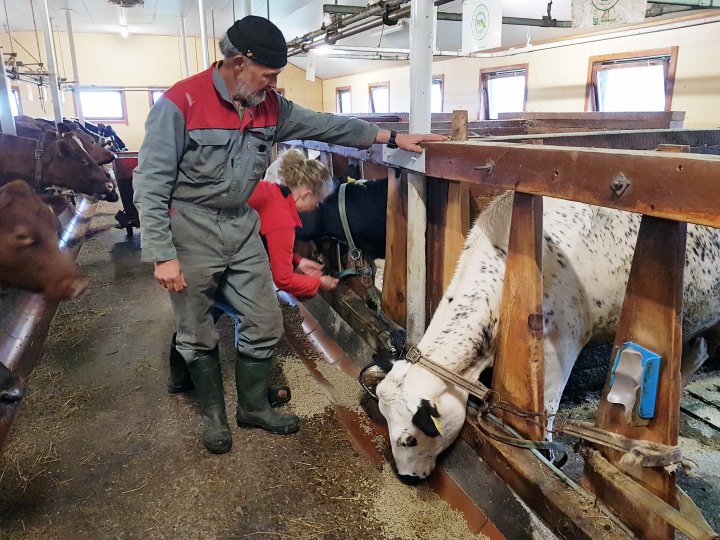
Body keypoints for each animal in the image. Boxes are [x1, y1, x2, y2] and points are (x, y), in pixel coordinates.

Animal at [376, 191, 720, 480]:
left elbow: (546, 410)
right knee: (698, 350)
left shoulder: (562, 344)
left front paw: (547, 456)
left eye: (408, 440)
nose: (406, 478)